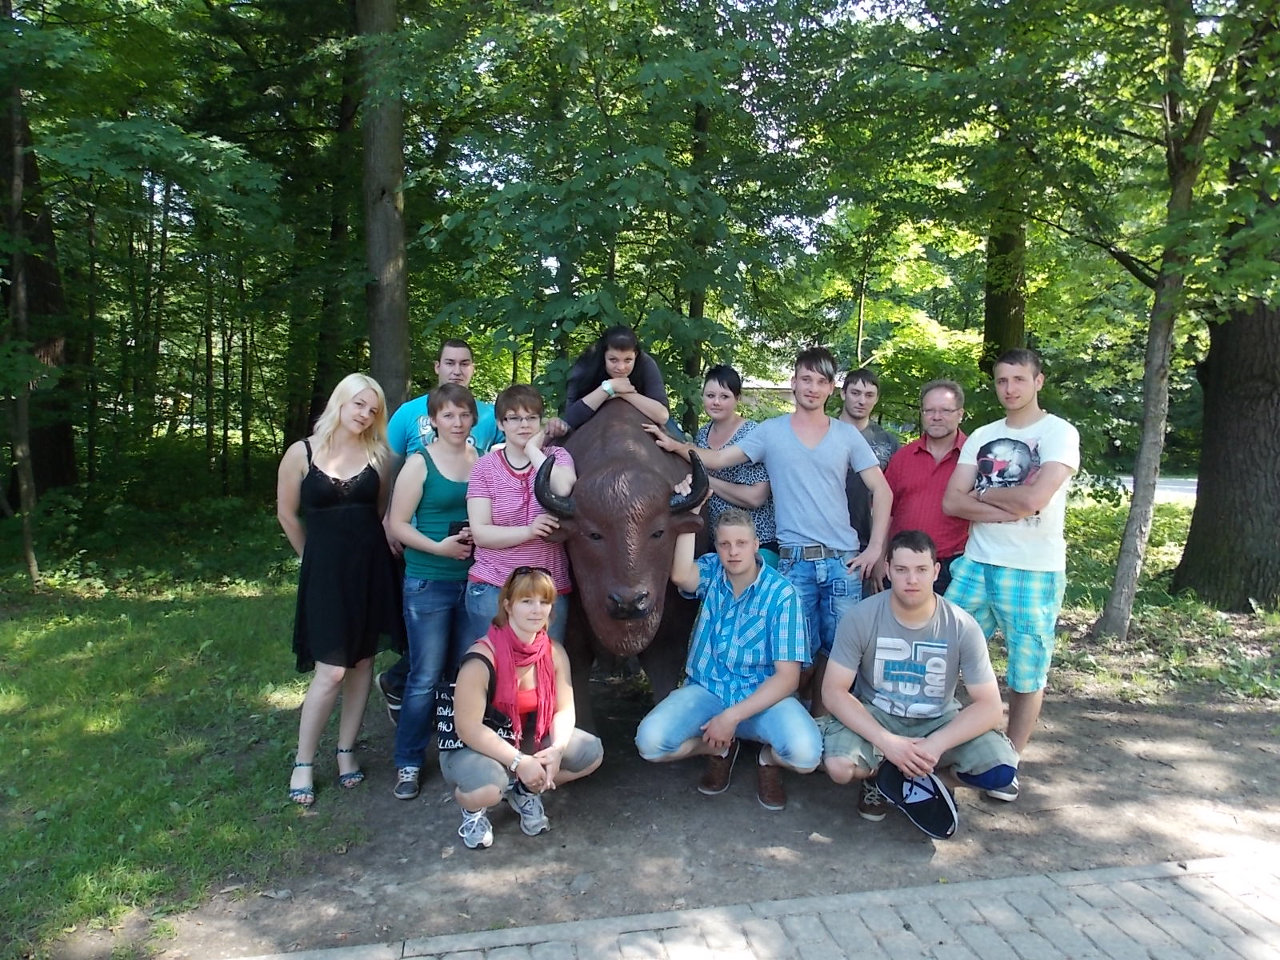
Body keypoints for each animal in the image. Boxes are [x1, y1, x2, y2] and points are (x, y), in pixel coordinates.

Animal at [534, 400, 708, 729]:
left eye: (658, 531)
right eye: (593, 534)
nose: (628, 601)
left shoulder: (675, 623)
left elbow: (664, 670)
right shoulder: (572, 627)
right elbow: (575, 677)